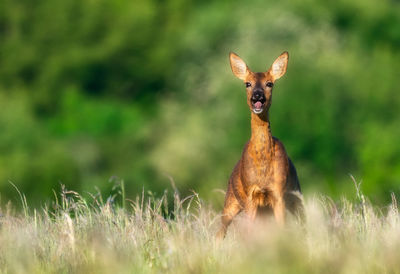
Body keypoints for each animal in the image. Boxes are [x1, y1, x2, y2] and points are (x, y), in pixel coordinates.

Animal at [217, 51, 304, 240]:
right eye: (247, 84)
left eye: (269, 83)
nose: (257, 96)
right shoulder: (250, 195)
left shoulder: (278, 193)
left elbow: (281, 229)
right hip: (231, 200)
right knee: (219, 232)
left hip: (295, 196)